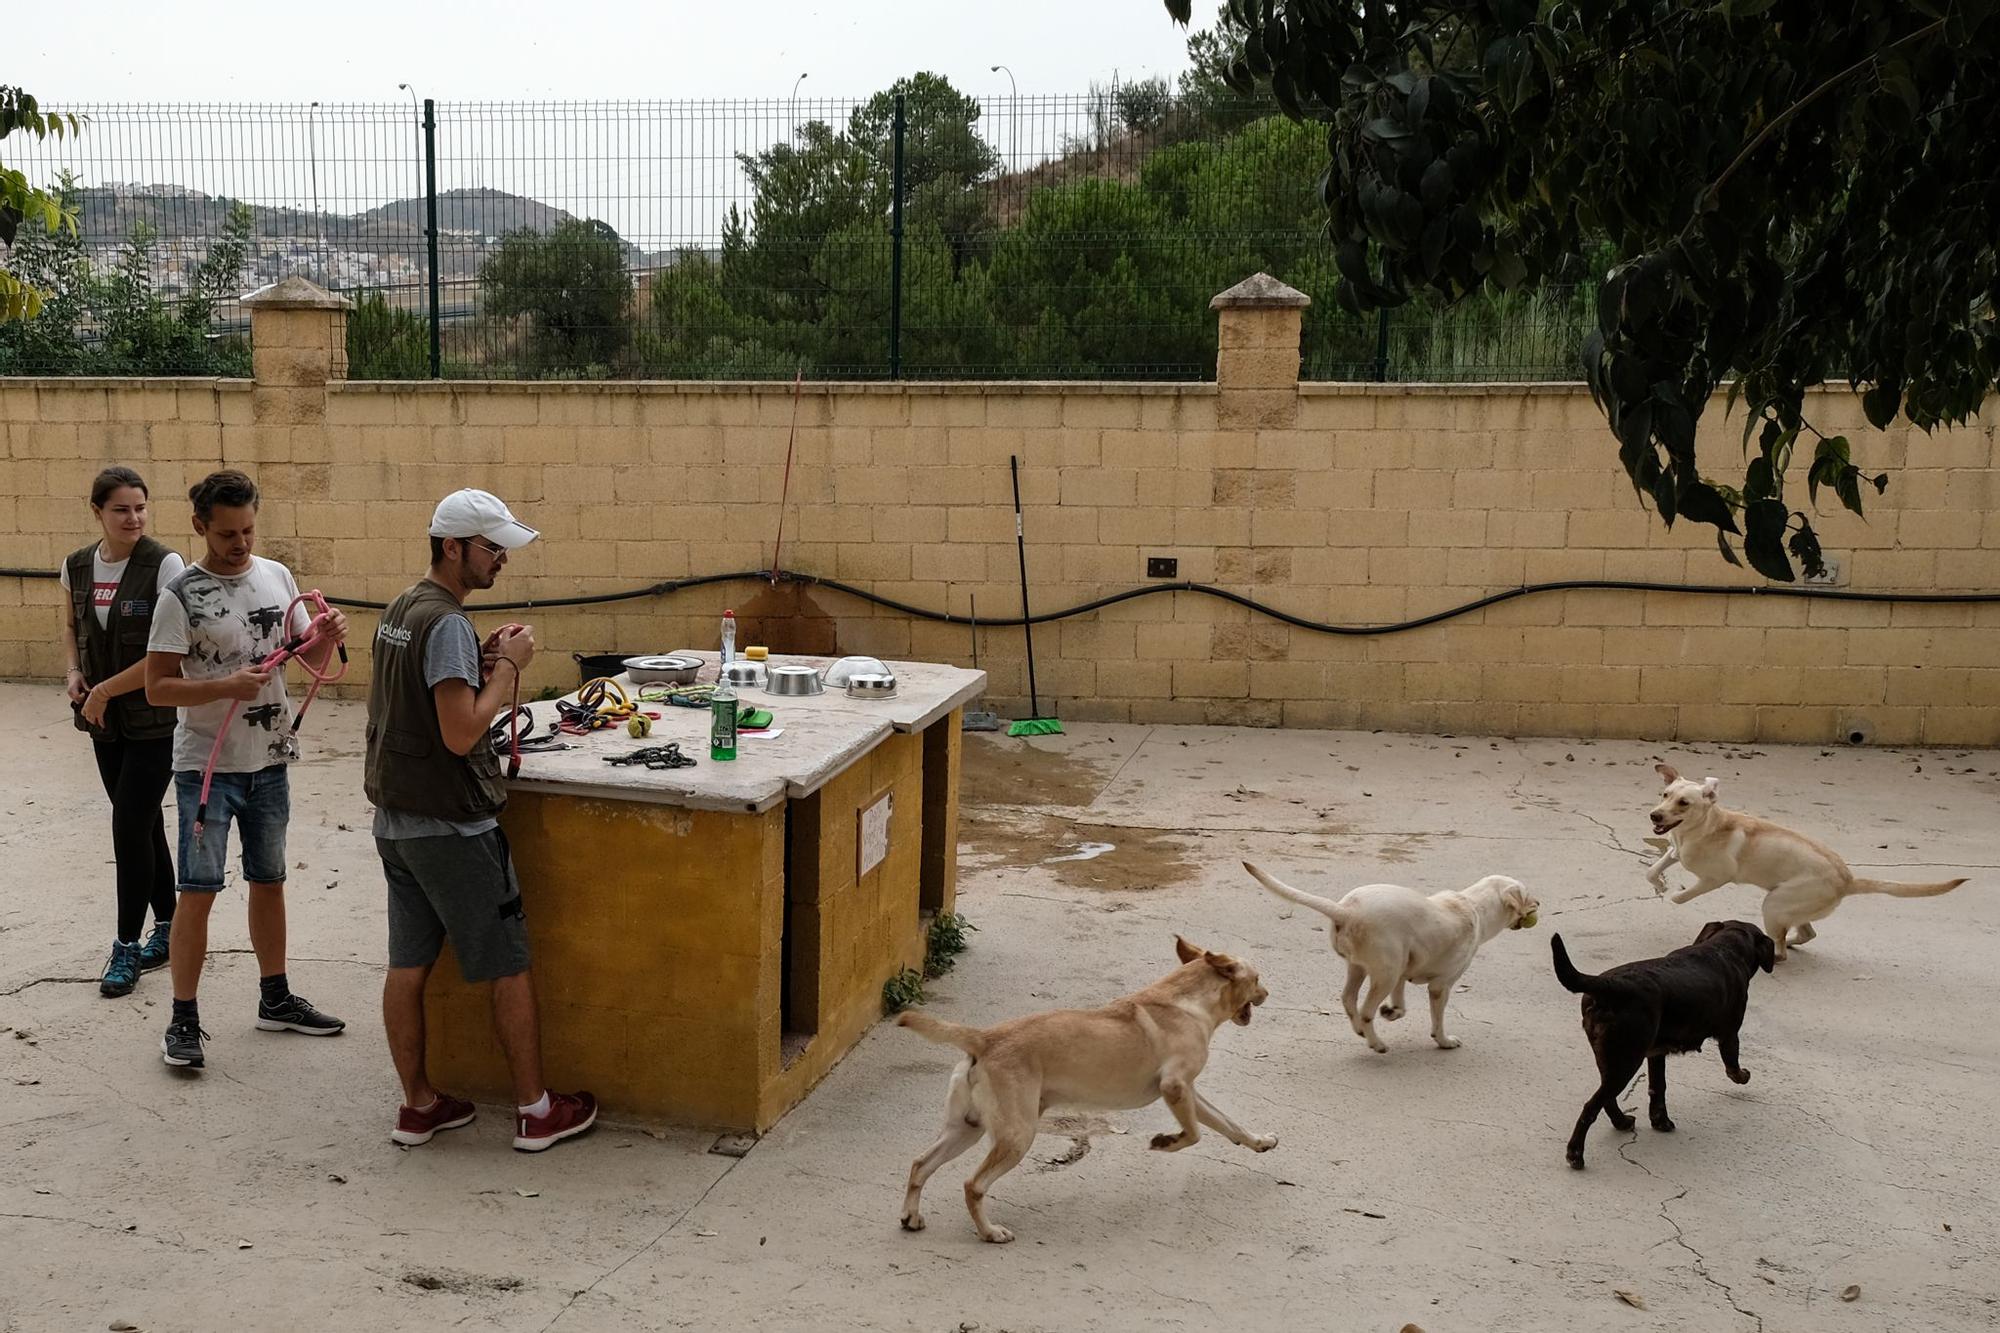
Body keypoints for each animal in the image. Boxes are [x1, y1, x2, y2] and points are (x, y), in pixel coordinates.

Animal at [900, 932, 1272, 1232]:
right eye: (1257, 978)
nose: (1268, 992)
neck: (1188, 1000)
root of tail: (985, 1038)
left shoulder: (1190, 1093)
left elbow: (1228, 1123)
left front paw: (1259, 1142)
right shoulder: (1175, 1087)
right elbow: (1193, 1134)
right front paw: (1166, 1142)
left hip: (967, 1129)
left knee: (920, 1164)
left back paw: (910, 1216)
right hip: (1018, 1135)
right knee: (973, 1185)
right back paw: (990, 1232)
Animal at [1240, 856, 1536, 1056]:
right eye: (1528, 894)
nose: (1540, 904)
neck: (1474, 905)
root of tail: (1346, 910)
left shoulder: (1402, 974)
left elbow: (1401, 1007)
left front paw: (1391, 1012)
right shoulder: (1441, 986)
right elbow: (1437, 1020)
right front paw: (1443, 1041)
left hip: (1363, 968)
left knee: (1348, 999)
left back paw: (1361, 1030)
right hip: (1384, 974)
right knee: (1365, 1010)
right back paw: (1377, 1043)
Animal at [1640, 756, 1968, 956]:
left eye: (1683, 803)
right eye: (1665, 794)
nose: (1655, 815)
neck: (1705, 827)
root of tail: (1848, 879)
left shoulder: (1716, 878)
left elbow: (1683, 896)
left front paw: (1671, 894)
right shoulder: (1675, 851)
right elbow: (1652, 870)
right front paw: (1659, 884)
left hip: (1774, 904)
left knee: (1782, 949)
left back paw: (1775, 952)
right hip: (1789, 907)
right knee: (1806, 933)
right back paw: (1792, 941)